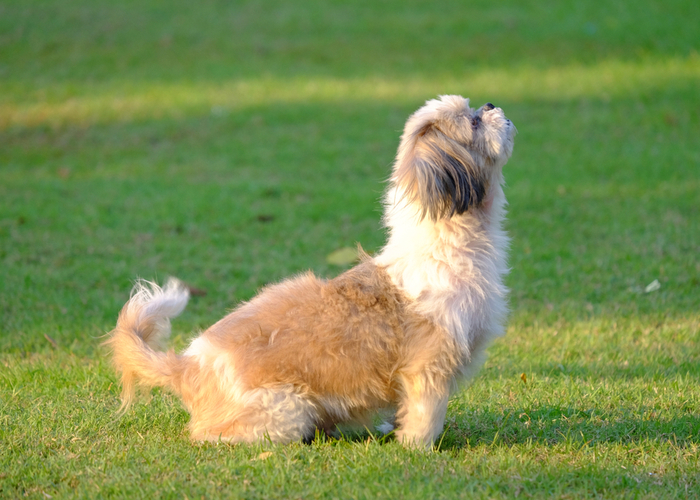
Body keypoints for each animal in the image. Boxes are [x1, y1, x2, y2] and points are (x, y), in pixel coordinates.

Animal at [106, 95, 516, 448]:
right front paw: (419, 448)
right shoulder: (429, 366)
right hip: (286, 409)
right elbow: (424, 414)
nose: (491, 105)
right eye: (474, 121)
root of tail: (186, 366)